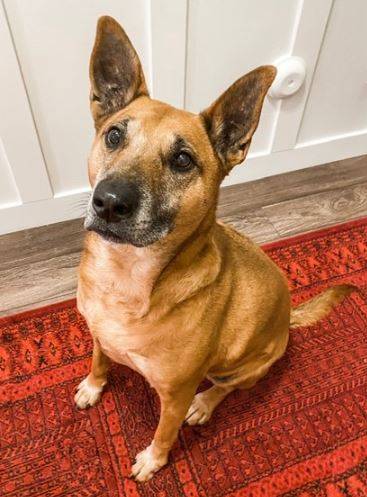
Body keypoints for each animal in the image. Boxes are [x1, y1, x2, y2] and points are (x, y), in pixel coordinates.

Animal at [75, 15, 356, 480]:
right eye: (114, 136)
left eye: (182, 160)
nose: (109, 202)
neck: (127, 275)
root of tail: (287, 322)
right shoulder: (98, 333)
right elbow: (100, 360)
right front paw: (94, 386)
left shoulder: (174, 392)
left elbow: (164, 432)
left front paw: (152, 461)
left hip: (245, 367)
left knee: (224, 389)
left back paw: (204, 406)